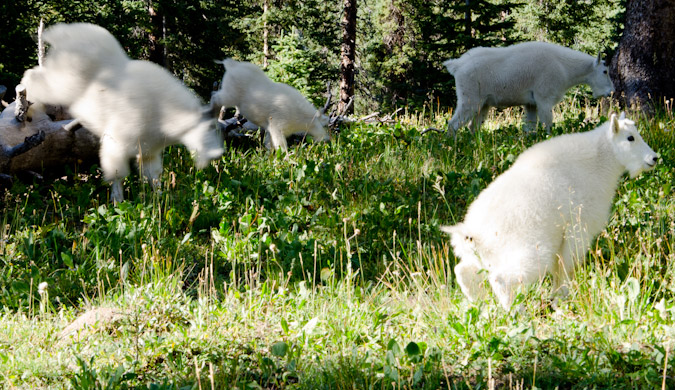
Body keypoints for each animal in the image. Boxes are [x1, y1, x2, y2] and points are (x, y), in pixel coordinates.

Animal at [19, 22, 222, 203]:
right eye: (209, 128)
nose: (217, 154)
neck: (164, 111)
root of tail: (62, 34)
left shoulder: (149, 150)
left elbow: (153, 175)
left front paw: (161, 198)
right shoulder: (117, 143)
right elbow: (117, 175)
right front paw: (117, 203)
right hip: (61, 83)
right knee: (33, 78)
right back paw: (27, 110)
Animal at [440, 113, 656, 310]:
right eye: (630, 137)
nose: (654, 158)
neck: (599, 162)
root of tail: (471, 233)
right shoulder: (578, 226)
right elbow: (566, 265)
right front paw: (561, 297)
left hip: (481, 257)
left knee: (463, 272)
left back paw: (482, 308)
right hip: (531, 251)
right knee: (502, 278)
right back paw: (517, 312)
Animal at [446, 41, 616, 134]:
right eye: (605, 71)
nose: (611, 91)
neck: (564, 67)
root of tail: (457, 65)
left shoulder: (531, 104)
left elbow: (530, 128)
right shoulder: (544, 99)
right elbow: (548, 124)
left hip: (483, 104)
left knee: (473, 126)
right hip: (469, 99)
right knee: (453, 125)